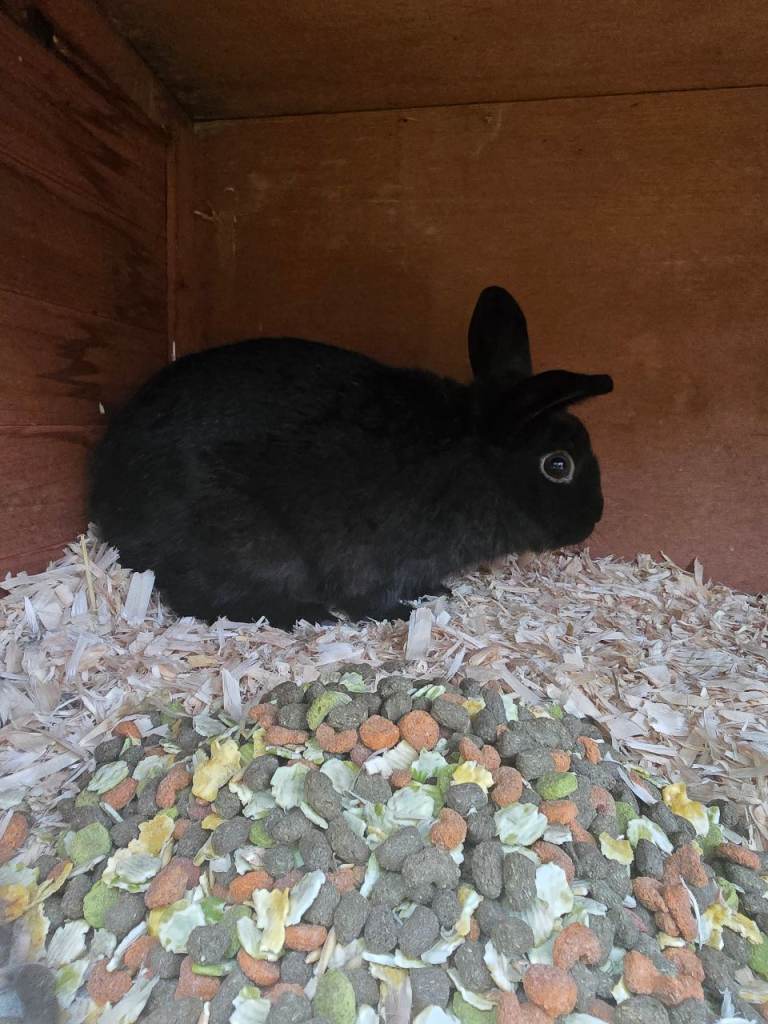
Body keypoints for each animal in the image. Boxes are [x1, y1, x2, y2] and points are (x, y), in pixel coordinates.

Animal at [89, 286, 613, 628]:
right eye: (558, 465)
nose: (592, 521)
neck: (475, 459)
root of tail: (108, 501)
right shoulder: (376, 555)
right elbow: (369, 597)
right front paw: (401, 611)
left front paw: (435, 591)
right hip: (250, 545)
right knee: (203, 597)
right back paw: (311, 615)